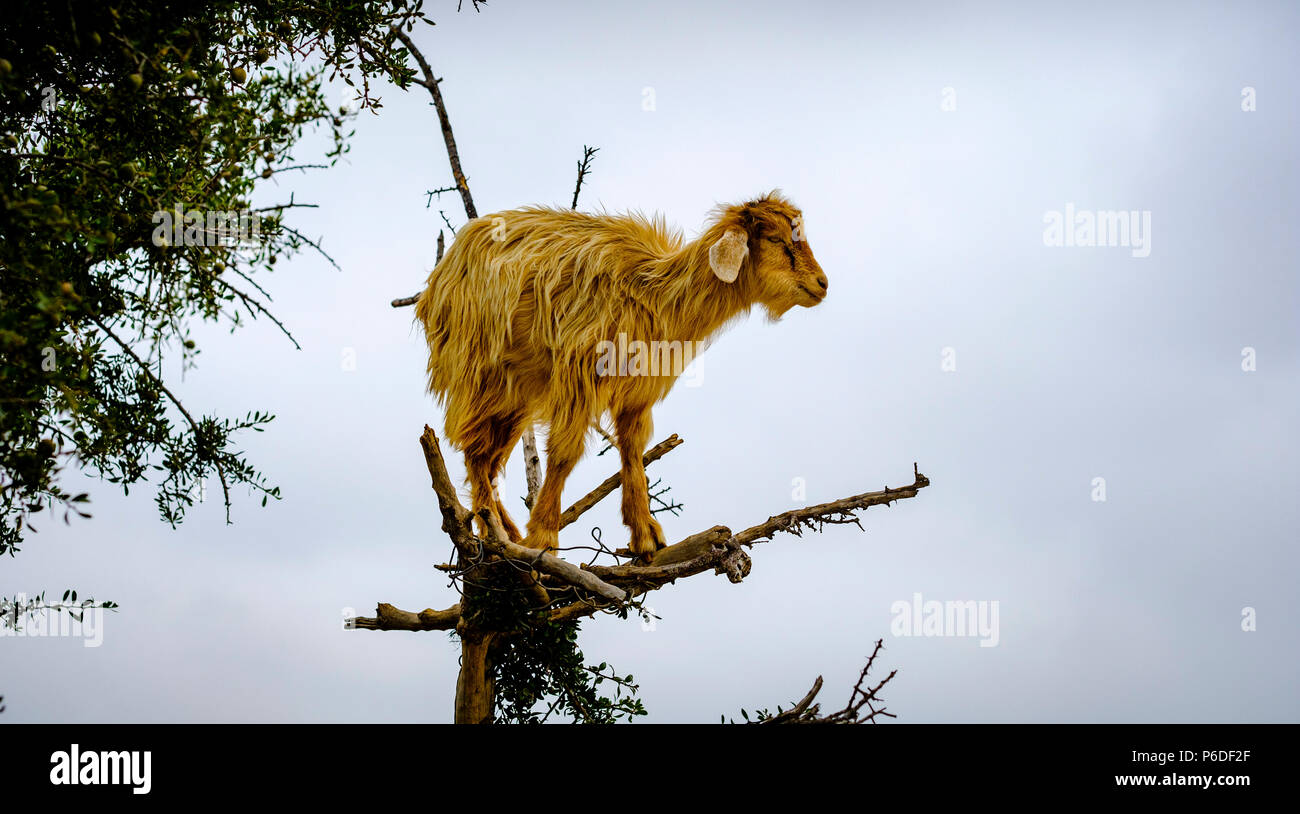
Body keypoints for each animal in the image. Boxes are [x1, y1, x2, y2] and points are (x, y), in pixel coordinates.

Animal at [413, 191, 821, 556]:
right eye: (775, 239)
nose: (822, 284)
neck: (653, 294)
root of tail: (435, 284)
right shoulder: (580, 374)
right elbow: (564, 453)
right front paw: (543, 536)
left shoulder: (637, 393)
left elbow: (632, 451)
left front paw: (645, 535)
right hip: (482, 373)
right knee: (475, 451)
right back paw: (500, 532)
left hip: (517, 394)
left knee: (487, 456)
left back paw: (504, 531)